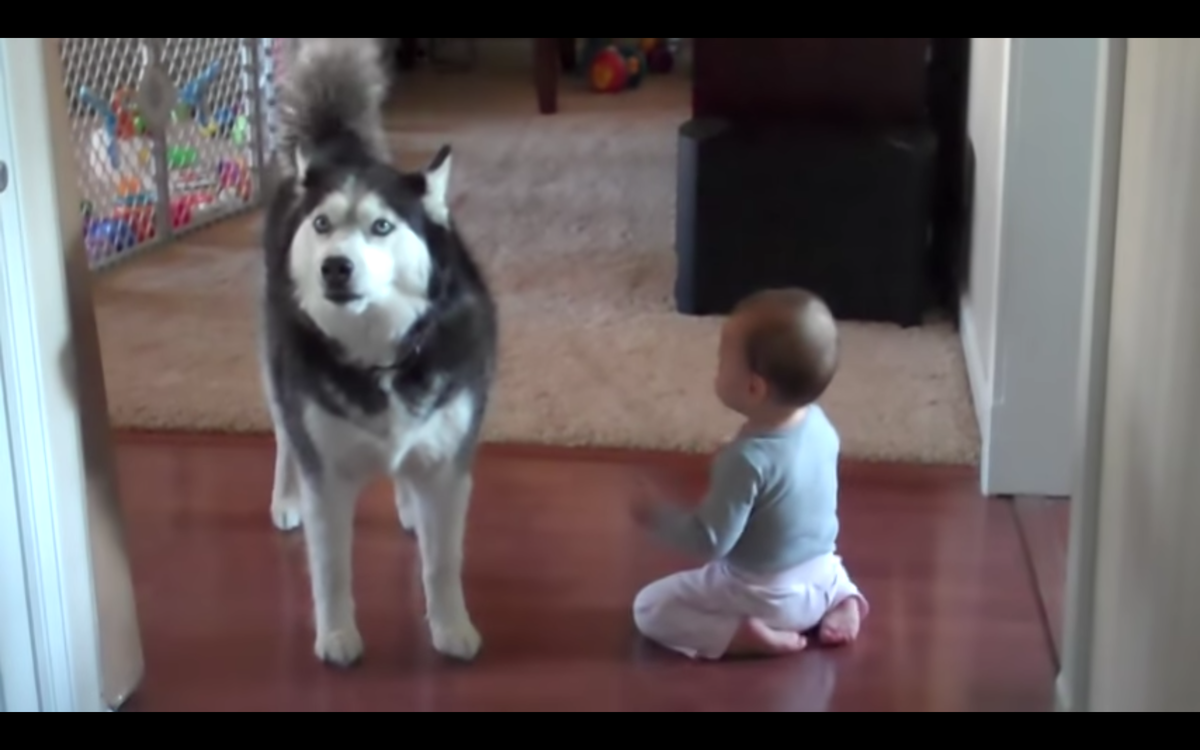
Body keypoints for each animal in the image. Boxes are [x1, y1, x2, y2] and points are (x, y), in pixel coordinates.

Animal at [260, 38, 494, 662]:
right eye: (322, 225)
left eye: (382, 227)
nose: (335, 267)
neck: (381, 353)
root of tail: (339, 143)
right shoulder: (327, 478)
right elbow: (330, 568)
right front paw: (337, 635)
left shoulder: (450, 468)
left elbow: (442, 562)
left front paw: (451, 626)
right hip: (277, 379)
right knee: (285, 438)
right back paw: (285, 498)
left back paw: (410, 508)